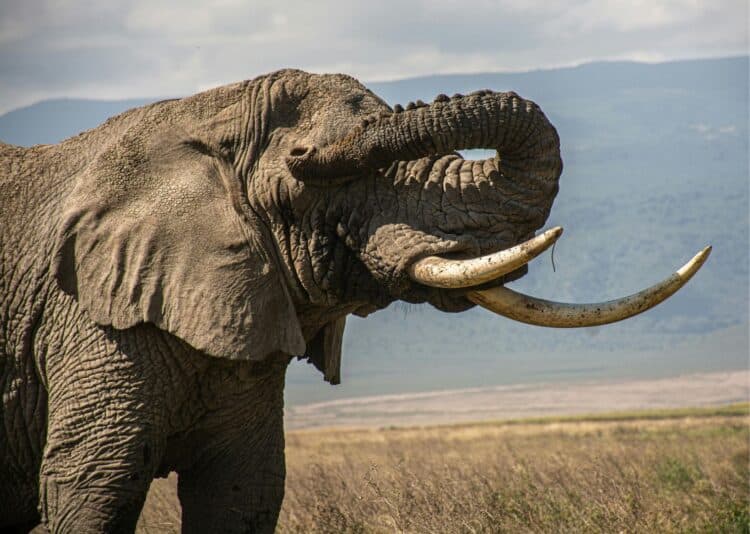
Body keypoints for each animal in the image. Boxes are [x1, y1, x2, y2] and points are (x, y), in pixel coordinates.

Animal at [0, 68, 709, 533]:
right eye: (304, 175)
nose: (308, 151)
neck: (201, 112)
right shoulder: (90, 318)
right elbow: (97, 486)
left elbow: (243, 489)